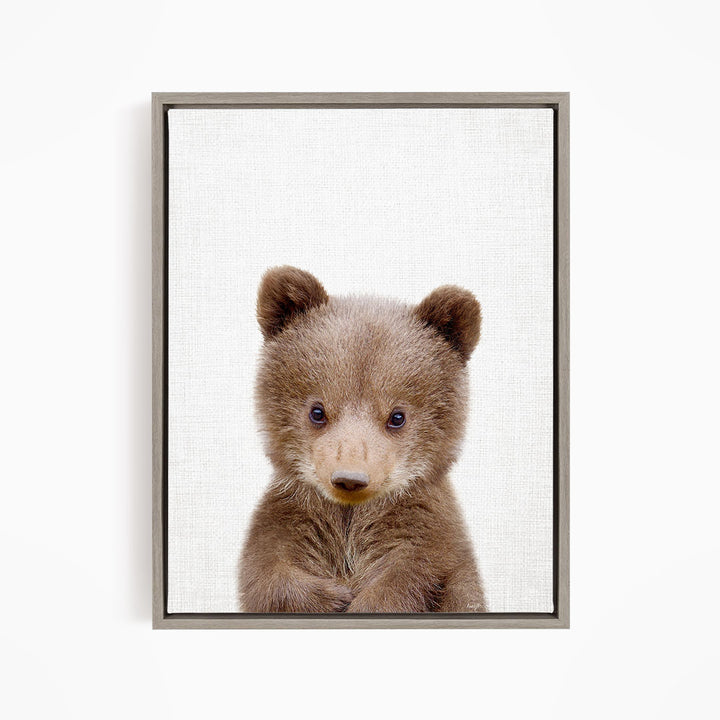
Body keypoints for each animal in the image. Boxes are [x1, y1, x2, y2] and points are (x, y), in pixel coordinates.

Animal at [239, 266, 486, 613]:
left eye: (397, 416)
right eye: (317, 411)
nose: (350, 478)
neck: (350, 518)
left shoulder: (425, 535)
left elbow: (412, 576)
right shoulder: (291, 519)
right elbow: (268, 572)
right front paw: (333, 597)